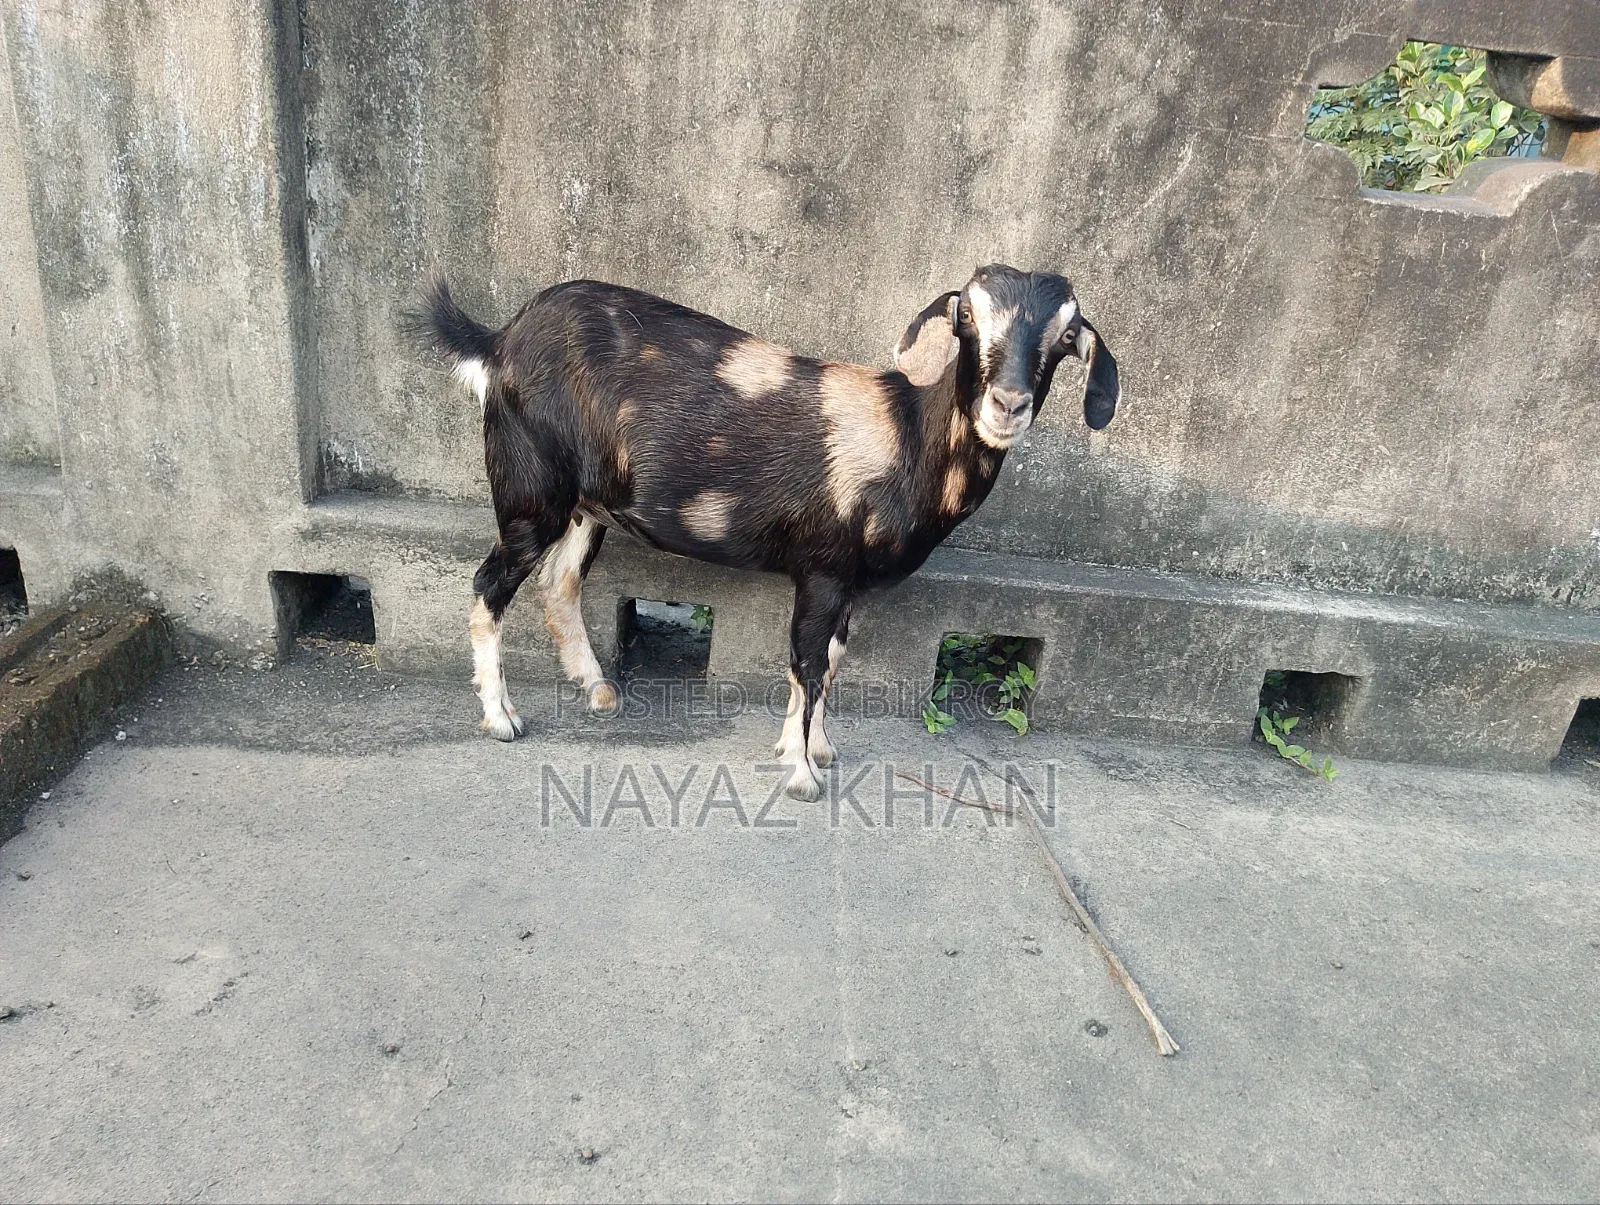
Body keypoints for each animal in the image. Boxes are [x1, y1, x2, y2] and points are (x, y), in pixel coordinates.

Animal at [420, 264, 1120, 799]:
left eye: (1064, 337)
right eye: (967, 318)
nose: (1008, 404)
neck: (907, 439)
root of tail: (500, 341)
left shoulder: (845, 583)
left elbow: (827, 662)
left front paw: (815, 748)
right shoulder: (825, 568)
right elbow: (807, 663)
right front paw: (803, 775)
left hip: (584, 506)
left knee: (559, 584)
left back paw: (598, 690)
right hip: (531, 492)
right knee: (489, 584)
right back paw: (502, 717)